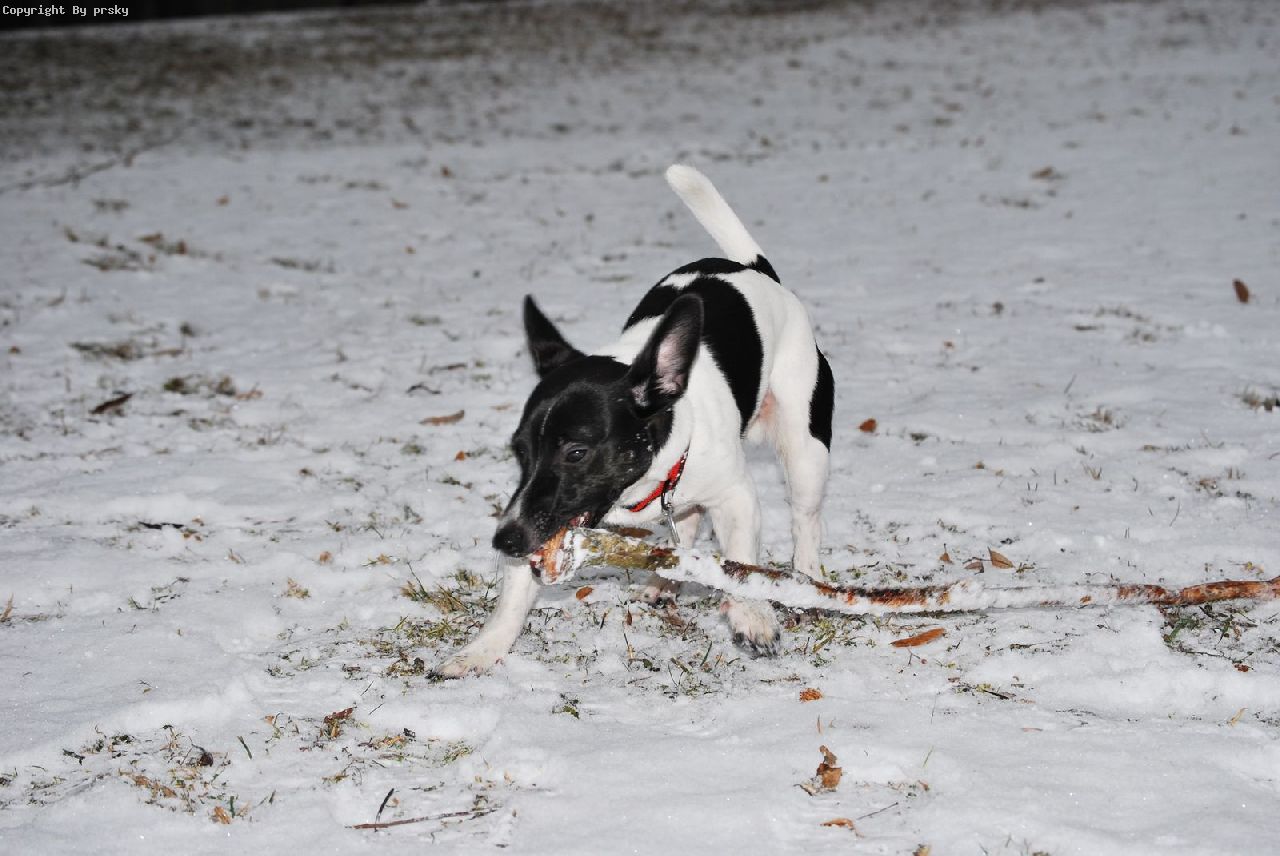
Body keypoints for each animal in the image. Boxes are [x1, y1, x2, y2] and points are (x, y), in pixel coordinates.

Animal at [433, 164, 833, 678]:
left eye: (576, 452)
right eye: (520, 452)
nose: (505, 540)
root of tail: (753, 267)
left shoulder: (736, 496)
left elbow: (741, 559)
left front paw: (750, 616)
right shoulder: (540, 522)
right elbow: (515, 595)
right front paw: (483, 650)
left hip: (805, 450)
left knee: (805, 520)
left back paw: (805, 578)